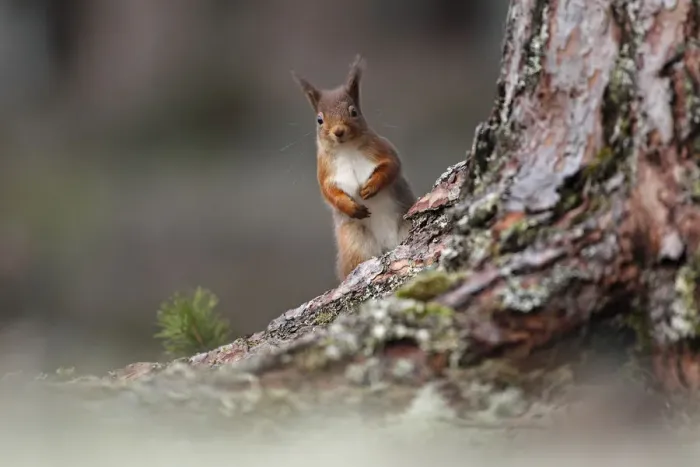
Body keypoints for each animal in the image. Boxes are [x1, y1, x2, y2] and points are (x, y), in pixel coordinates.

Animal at [292, 55, 417, 281]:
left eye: (354, 112)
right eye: (319, 119)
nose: (339, 131)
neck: (347, 150)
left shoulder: (383, 150)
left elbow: (391, 167)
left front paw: (371, 187)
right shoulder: (325, 172)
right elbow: (329, 193)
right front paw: (351, 207)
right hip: (354, 245)